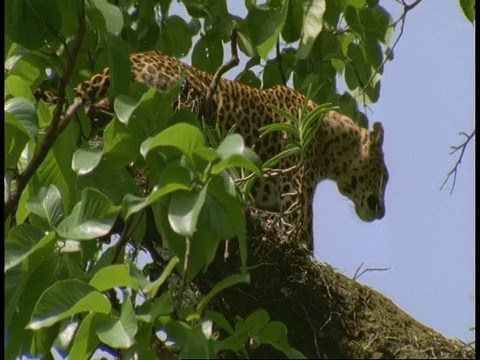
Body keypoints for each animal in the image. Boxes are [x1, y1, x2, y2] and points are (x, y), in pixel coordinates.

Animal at [37, 52, 390, 252]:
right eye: (385, 176)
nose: (384, 212)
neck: (334, 141)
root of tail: (131, 58)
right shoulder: (296, 202)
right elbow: (306, 242)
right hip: (174, 99)